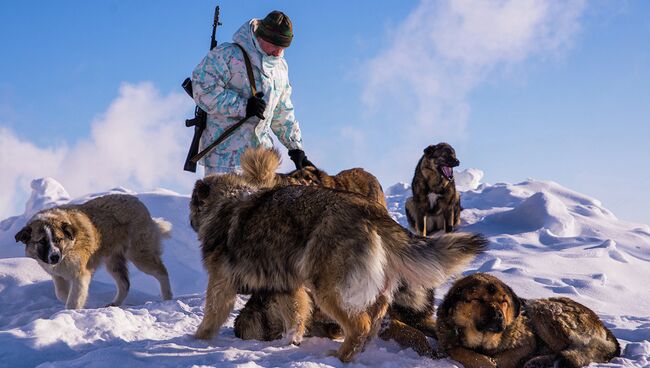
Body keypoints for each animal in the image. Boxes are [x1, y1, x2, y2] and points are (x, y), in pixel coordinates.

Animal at [15, 194, 172, 310]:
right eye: (42, 241)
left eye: (58, 239)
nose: (54, 257)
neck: (69, 248)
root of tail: (137, 201)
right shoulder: (58, 275)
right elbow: (61, 294)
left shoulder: (80, 274)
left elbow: (74, 299)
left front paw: (71, 311)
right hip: (113, 262)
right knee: (125, 284)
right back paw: (114, 304)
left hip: (139, 254)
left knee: (162, 272)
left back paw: (167, 298)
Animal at [436, 274, 616, 368]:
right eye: (479, 300)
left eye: (503, 301)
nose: (499, 315)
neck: (483, 340)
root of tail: (603, 327)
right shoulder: (448, 340)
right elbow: (458, 350)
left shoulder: (527, 343)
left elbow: (502, 358)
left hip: (542, 309)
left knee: (571, 350)